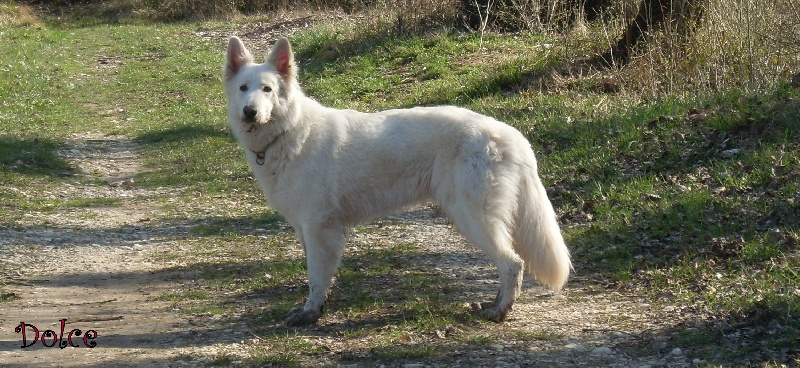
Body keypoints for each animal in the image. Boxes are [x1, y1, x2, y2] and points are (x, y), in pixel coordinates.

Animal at [222, 36, 568, 324]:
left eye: (267, 89)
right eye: (243, 89)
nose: (250, 112)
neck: (288, 132)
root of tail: (510, 133)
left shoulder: (319, 227)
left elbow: (316, 276)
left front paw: (311, 313)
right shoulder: (307, 229)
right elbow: (318, 274)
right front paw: (319, 306)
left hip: (472, 217)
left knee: (512, 263)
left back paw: (500, 310)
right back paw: (493, 303)